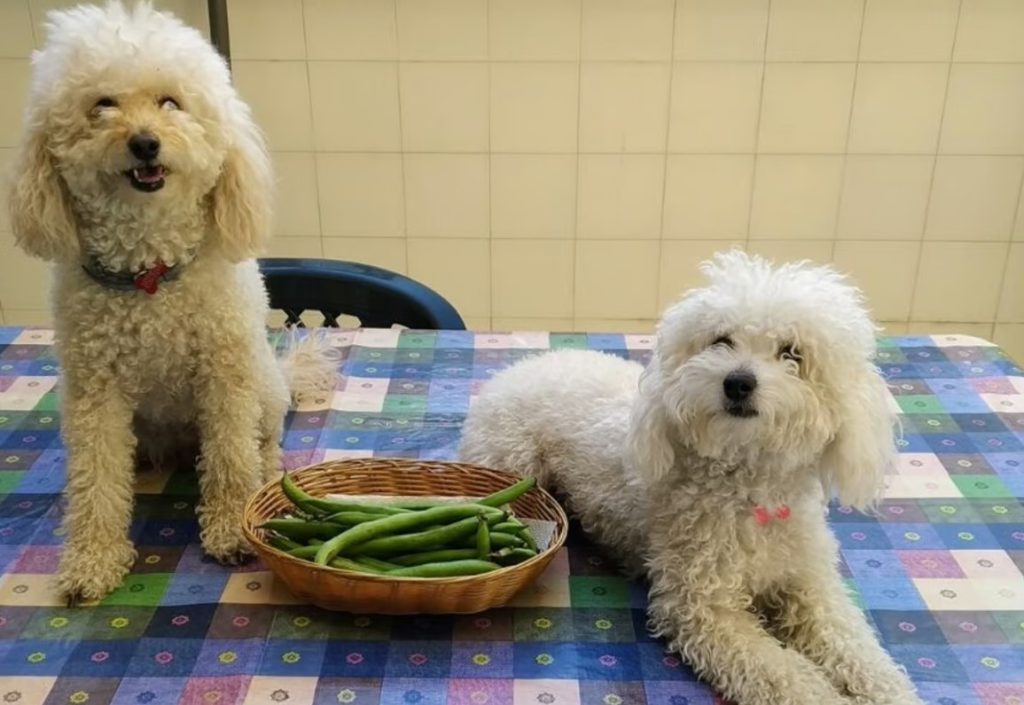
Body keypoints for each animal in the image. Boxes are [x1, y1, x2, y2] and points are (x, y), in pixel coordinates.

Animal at [9, 2, 335, 602]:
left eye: (171, 102)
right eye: (102, 104)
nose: (144, 142)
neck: (149, 273)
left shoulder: (223, 373)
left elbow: (230, 460)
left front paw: (230, 530)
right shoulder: (95, 391)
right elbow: (95, 481)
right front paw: (91, 563)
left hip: (260, 389)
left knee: (258, 442)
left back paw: (265, 468)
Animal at [460, 252, 925, 705]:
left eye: (792, 353)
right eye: (721, 340)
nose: (738, 382)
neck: (749, 490)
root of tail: (525, 364)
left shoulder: (811, 584)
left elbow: (856, 645)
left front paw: (889, 688)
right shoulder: (703, 606)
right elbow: (788, 676)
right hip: (512, 455)